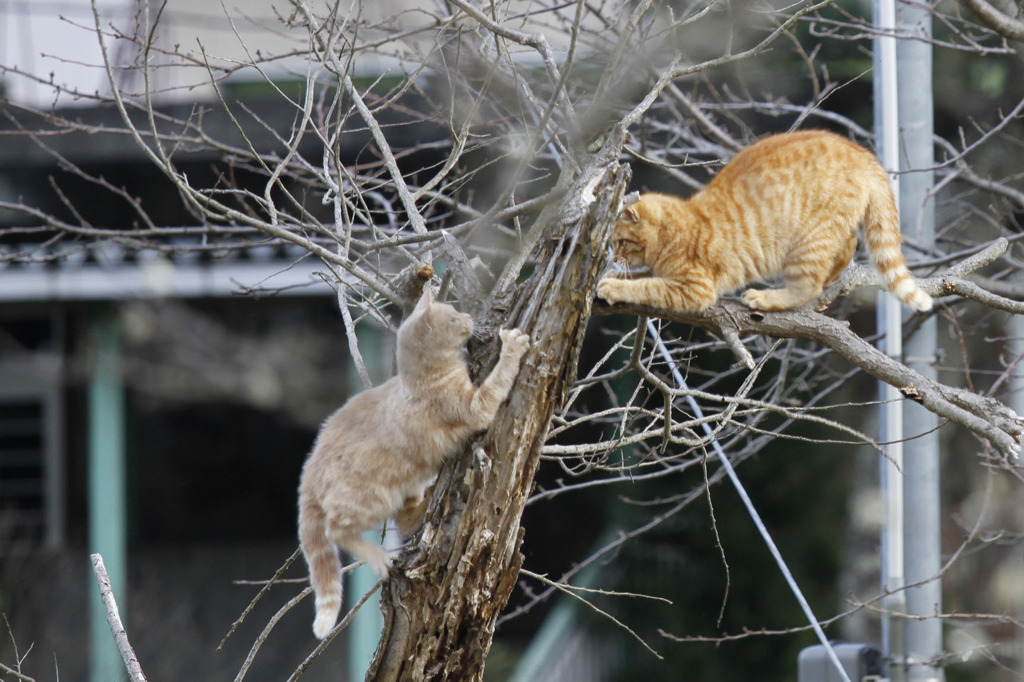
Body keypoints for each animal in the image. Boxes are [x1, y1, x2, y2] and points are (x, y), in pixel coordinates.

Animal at [296, 288, 532, 638]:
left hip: (406, 483)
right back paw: (378, 557)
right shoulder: (474, 406)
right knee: (337, 529)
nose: (468, 317)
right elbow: (498, 380)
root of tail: (310, 466)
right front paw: (513, 347)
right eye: (453, 317)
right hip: (369, 499)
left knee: (406, 521)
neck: (420, 377)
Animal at [598, 129, 937, 311]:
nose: (612, 257)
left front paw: (614, 287)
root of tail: (860, 152)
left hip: (806, 244)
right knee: (848, 245)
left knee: (807, 288)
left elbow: (648, 286)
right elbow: (645, 277)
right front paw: (615, 276)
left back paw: (764, 298)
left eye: (620, 242)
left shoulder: (694, 288)